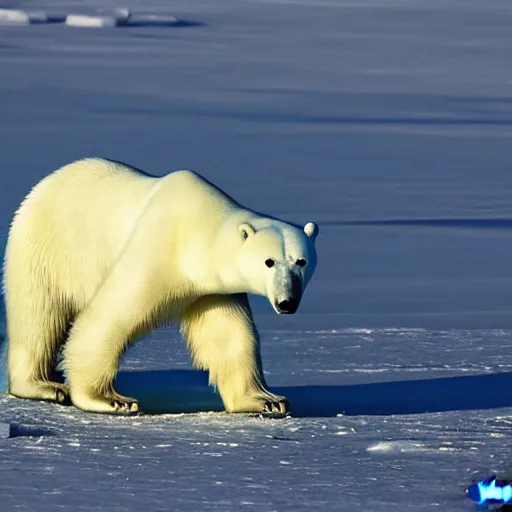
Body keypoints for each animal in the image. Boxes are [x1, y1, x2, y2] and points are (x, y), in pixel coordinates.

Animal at [4, 159, 318, 416]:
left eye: (301, 261)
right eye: (269, 261)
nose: (287, 302)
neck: (200, 228)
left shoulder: (213, 290)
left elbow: (228, 335)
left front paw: (268, 400)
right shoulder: (158, 246)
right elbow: (109, 315)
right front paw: (112, 399)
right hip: (45, 248)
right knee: (37, 316)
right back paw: (43, 385)